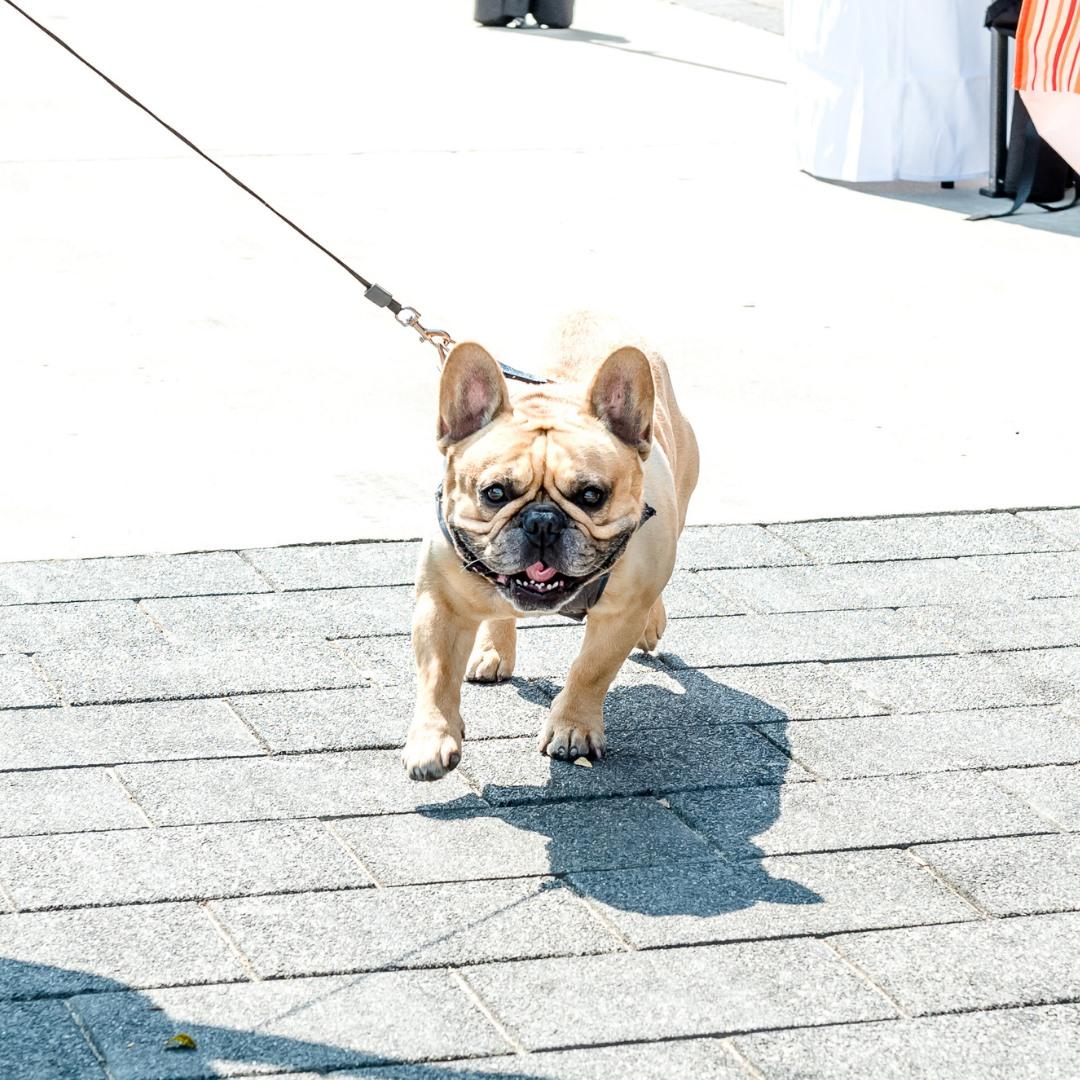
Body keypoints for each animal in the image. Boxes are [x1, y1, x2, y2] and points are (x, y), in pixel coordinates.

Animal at [401, 315, 695, 781]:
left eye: (591, 495)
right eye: (494, 493)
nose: (542, 521)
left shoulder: (622, 614)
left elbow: (591, 670)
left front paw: (573, 728)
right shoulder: (439, 604)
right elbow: (437, 675)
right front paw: (431, 740)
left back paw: (653, 623)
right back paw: (493, 649)